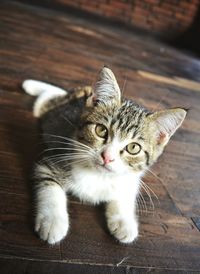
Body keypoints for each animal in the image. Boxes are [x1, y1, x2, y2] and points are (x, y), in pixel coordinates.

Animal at [22, 66, 187, 244]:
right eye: (101, 130)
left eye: (133, 148)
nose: (107, 157)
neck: (98, 175)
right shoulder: (54, 158)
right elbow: (49, 186)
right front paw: (53, 221)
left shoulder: (131, 178)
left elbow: (125, 194)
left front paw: (124, 222)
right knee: (45, 101)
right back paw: (31, 85)